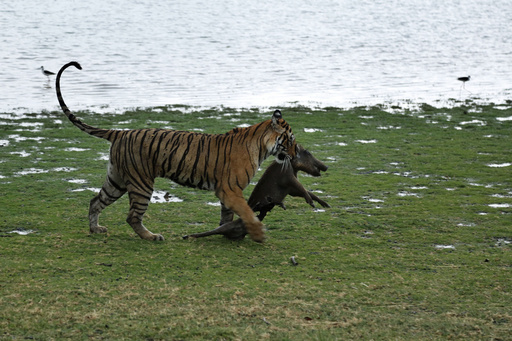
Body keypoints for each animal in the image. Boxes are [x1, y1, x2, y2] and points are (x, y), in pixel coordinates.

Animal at [55, 61, 296, 242]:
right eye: (291, 139)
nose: (295, 155)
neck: (261, 145)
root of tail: (121, 132)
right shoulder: (230, 189)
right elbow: (246, 211)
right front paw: (258, 234)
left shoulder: (227, 192)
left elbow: (227, 215)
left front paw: (227, 232)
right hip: (141, 183)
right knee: (132, 216)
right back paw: (151, 237)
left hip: (117, 181)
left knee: (95, 201)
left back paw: (96, 229)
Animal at [183, 143, 328, 239]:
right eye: (307, 152)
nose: (326, 167)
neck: (292, 167)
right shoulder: (289, 180)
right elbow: (304, 190)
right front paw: (312, 204)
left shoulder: (291, 189)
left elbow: (309, 192)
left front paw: (326, 205)